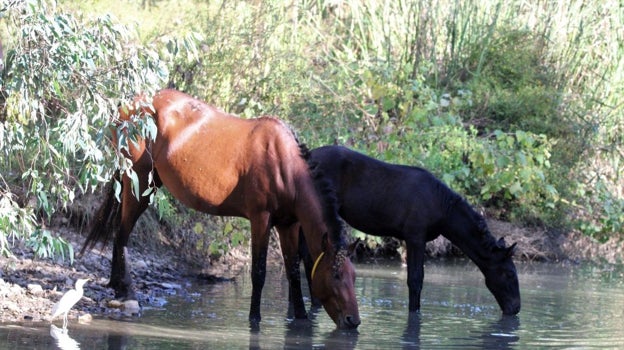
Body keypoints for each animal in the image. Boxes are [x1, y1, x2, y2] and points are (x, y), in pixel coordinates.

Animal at [80, 89, 360, 330]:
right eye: (336, 275)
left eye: (354, 276)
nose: (353, 321)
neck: (286, 167)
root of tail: (129, 104)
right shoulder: (260, 219)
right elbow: (259, 272)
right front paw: (254, 318)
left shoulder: (288, 224)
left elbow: (293, 272)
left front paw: (301, 318)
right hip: (137, 182)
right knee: (122, 234)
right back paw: (126, 290)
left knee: (120, 232)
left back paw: (117, 286)